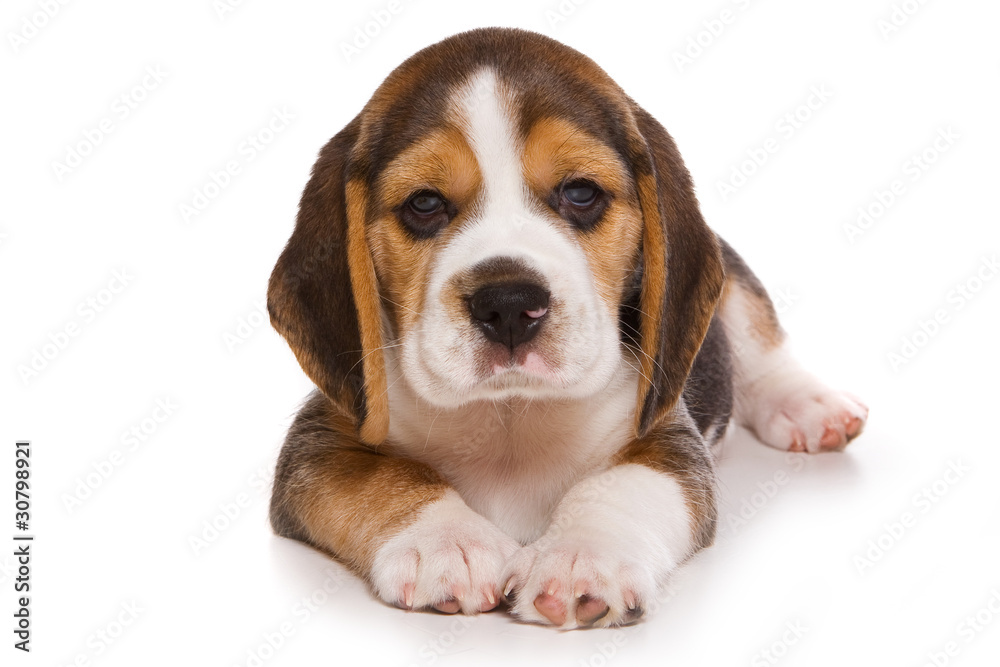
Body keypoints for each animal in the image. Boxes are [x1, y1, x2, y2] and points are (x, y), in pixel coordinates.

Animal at [266, 27, 868, 632]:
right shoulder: (318, 442)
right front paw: (447, 542)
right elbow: (383, 478)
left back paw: (810, 406)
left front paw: (580, 556)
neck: (509, 416)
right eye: (425, 204)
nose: (509, 304)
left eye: (581, 193)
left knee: (761, 343)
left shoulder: (666, 437)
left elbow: (620, 486)